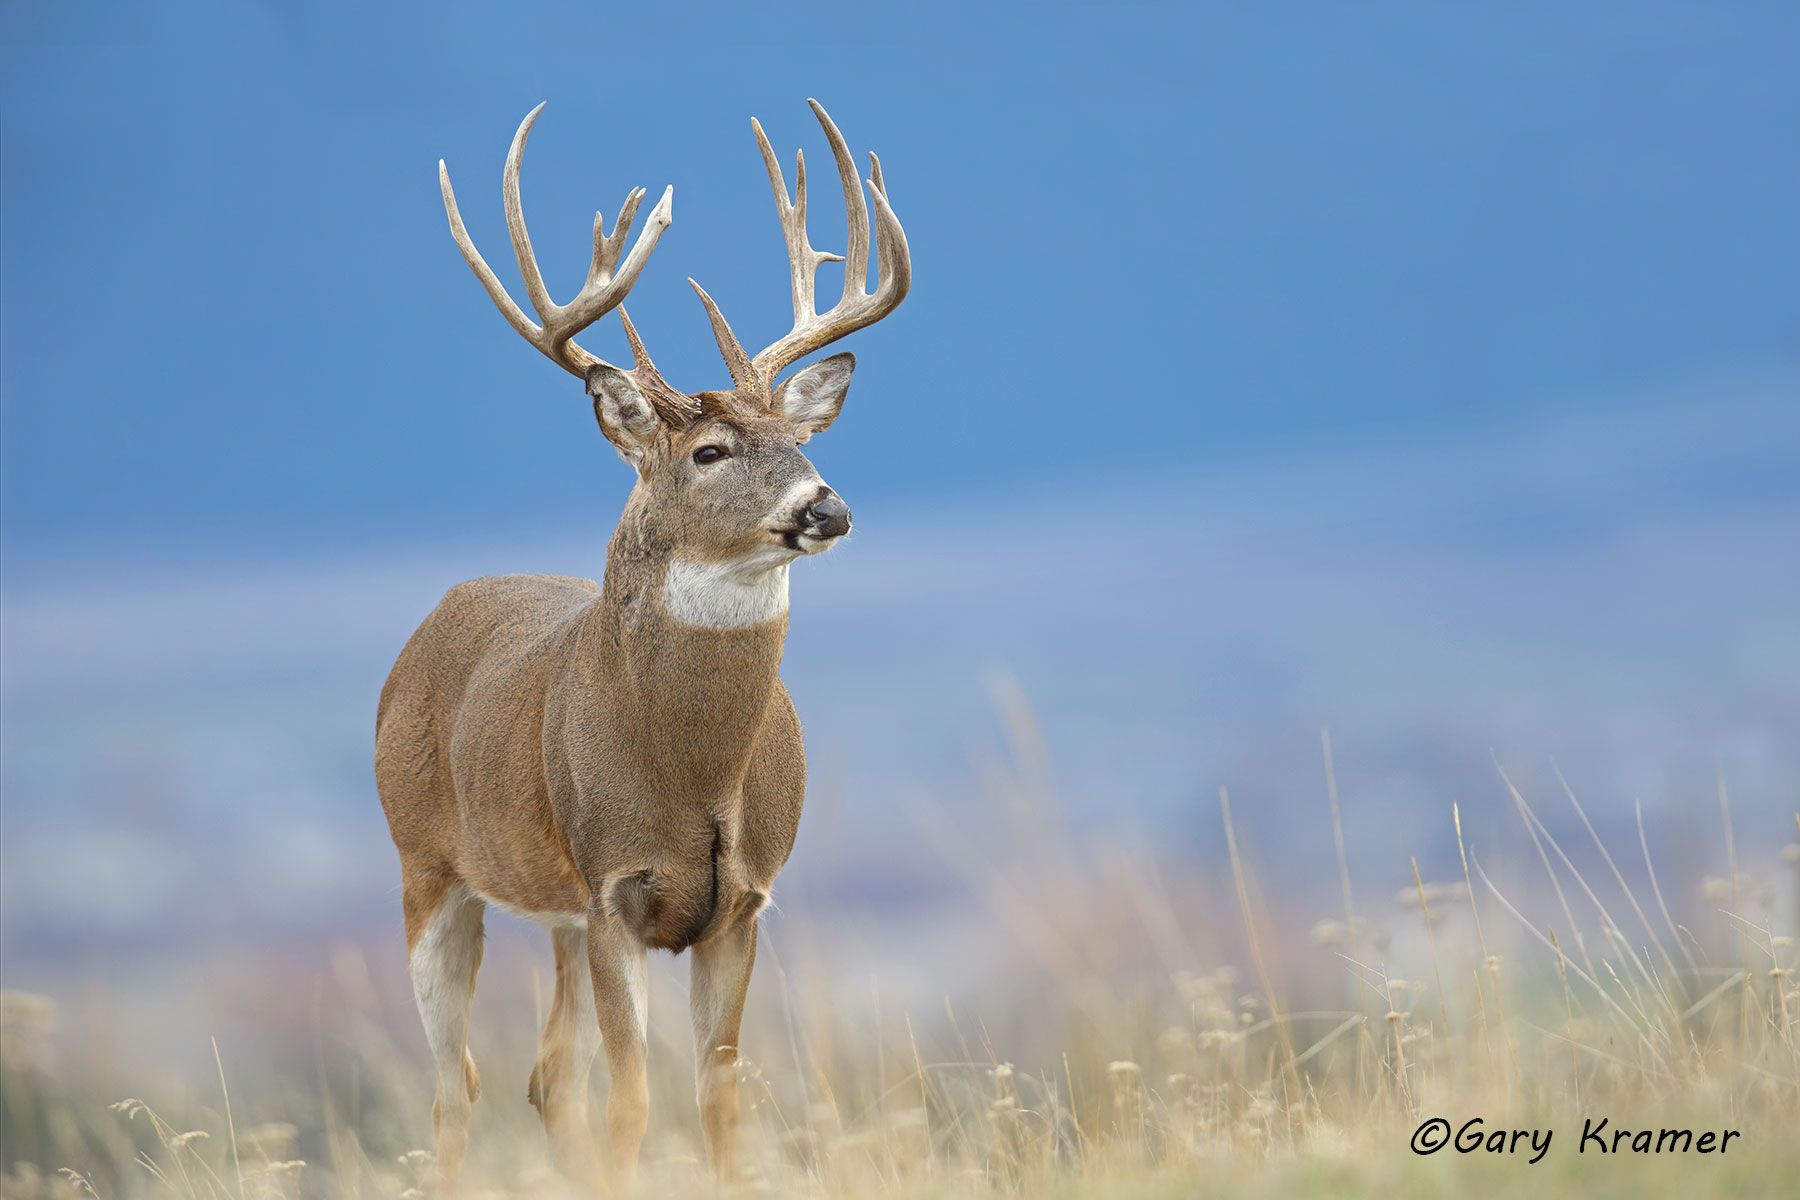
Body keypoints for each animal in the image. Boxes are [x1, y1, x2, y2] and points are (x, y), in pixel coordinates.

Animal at [375, 99, 909, 1193]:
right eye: (708, 452)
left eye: (803, 442)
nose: (826, 506)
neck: (690, 771)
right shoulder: (616, 889)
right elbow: (631, 1105)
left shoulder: (741, 902)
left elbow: (717, 1099)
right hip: (426, 865)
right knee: (455, 1088)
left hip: (557, 913)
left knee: (546, 1079)